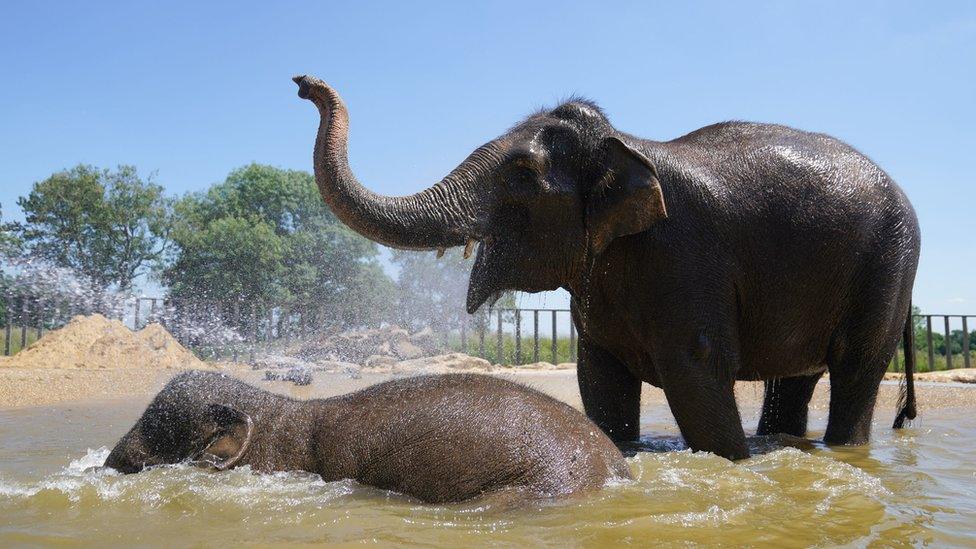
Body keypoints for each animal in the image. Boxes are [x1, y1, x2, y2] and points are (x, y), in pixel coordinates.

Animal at [294, 73, 920, 458]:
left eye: (521, 173)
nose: (304, 85)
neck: (624, 144)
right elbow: (600, 381)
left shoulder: (686, 255)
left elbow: (697, 370)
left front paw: (730, 461)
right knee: (794, 382)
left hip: (888, 265)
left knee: (856, 370)